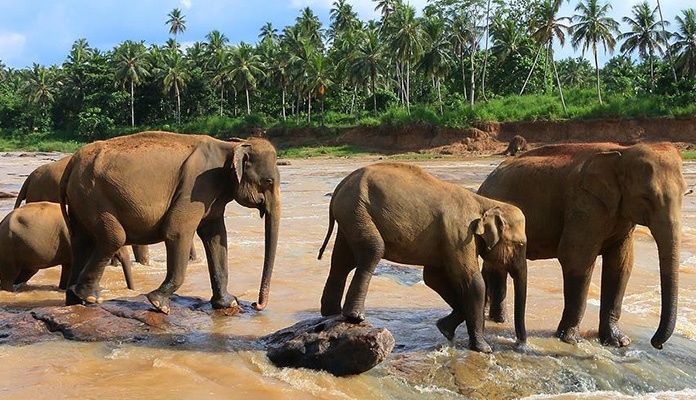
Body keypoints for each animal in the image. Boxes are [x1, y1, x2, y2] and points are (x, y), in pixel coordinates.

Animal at [0, 203, 134, 290]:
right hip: (8, 247)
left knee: (26, 272)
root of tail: (2, 222)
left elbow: (68, 266)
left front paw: (63, 288)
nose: (129, 289)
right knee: (9, 276)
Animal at [57, 130, 280, 314]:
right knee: (113, 238)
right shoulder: (196, 188)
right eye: (269, 181)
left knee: (81, 242)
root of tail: (72, 162)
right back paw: (90, 297)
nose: (255, 304)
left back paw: (75, 300)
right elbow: (177, 231)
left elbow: (216, 238)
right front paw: (159, 304)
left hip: (80, 201)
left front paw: (228, 303)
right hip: (93, 197)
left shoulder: (212, 198)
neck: (231, 146)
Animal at [316, 161, 528, 352]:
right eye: (520, 245)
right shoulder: (460, 235)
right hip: (357, 210)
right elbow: (472, 282)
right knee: (373, 250)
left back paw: (331, 314)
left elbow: (433, 278)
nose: (521, 345)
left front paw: (444, 329)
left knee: (342, 262)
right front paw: (484, 349)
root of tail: (342, 184)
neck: (486, 203)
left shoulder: (449, 239)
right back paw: (354, 317)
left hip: (350, 215)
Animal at [478, 142, 684, 348]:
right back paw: (500, 320)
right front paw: (570, 339)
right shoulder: (584, 205)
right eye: (646, 197)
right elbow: (576, 259)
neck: (622, 151)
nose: (657, 344)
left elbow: (621, 265)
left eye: (685, 194)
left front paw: (619, 342)